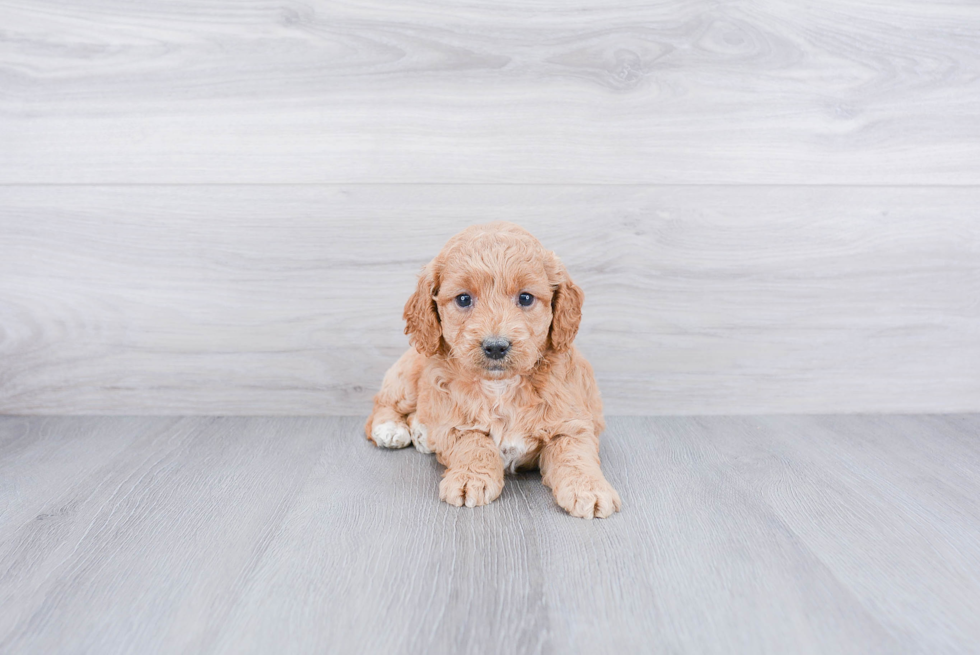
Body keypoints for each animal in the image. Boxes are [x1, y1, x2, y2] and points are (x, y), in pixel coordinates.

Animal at [364, 223, 624, 520]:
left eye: (525, 298)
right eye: (463, 299)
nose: (496, 347)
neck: (502, 385)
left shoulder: (572, 423)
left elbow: (575, 455)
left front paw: (590, 489)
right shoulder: (456, 423)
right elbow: (474, 444)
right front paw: (470, 478)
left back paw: (421, 433)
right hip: (409, 373)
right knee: (383, 404)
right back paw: (391, 429)